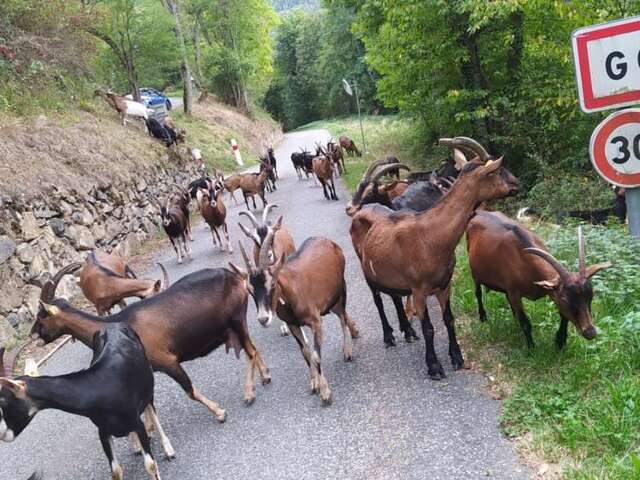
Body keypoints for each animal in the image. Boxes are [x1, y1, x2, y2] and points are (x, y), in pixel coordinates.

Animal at [0, 322, 175, 480]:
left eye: (2, 401)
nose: (3, 434)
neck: (99, 389)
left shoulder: (137, 424)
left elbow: (150, 465)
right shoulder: (103, 431)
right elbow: (116, 471)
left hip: (148, 383)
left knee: (151, 406)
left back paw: (168, 449)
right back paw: (137, 445)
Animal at [31, 262, 272, 420]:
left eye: (42, 316)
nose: (34, 335)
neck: (114, 323)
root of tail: (235, 277)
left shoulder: (168, 361)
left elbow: (189, 390)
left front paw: (220, 412)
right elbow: (145, 403)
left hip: (236, 319)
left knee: (250, 352)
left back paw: (249, 394)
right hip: (234, 325)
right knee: (253, 348)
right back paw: (265, 376)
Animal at [350, 137, 520, 380]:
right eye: (497, 171)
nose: (516, 183)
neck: (431, 236)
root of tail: (362, 212)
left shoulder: (444, 285)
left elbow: (449, 320)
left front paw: (457, 358)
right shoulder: (419, 290)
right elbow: (429, 328)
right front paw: (434, 367)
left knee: (394, 297)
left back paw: (408, 331)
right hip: (367, 272)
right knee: (379, 302)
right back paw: (389, 337)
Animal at [464, 210, 608, 348]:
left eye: (590, 296)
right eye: (565, 299)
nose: (590, 332)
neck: (524, 259)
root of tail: (479, 213)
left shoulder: (549, 291)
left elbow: (564, 316)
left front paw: (560, 342)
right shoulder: (514, 292)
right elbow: (525, 322)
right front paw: (531, 347)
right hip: (474, 273)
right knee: (478, 293)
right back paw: (483, 317)